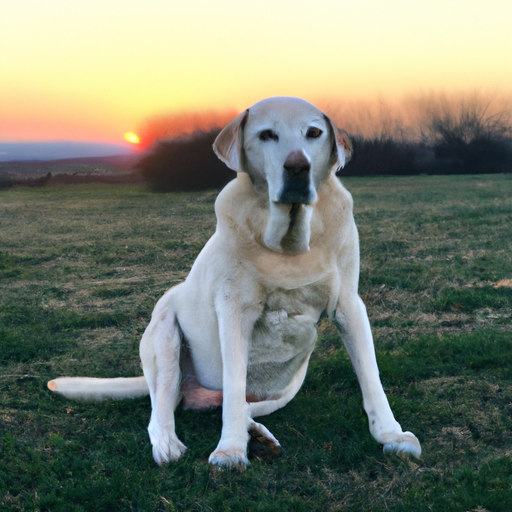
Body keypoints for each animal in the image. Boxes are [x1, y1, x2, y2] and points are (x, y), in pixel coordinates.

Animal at [48, 96, 422, 468]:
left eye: (314, 133)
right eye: (266, 135)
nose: (297, 167)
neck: (288, 243)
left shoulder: (348, 305)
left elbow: (370, 376)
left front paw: (391, 434)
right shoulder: (234, 312)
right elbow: (231, 384)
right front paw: (229, 450)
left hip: (285, 389)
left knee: (242, 406)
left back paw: (256, 435)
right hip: (165, 338)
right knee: (168, 409)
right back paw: (171, 444)